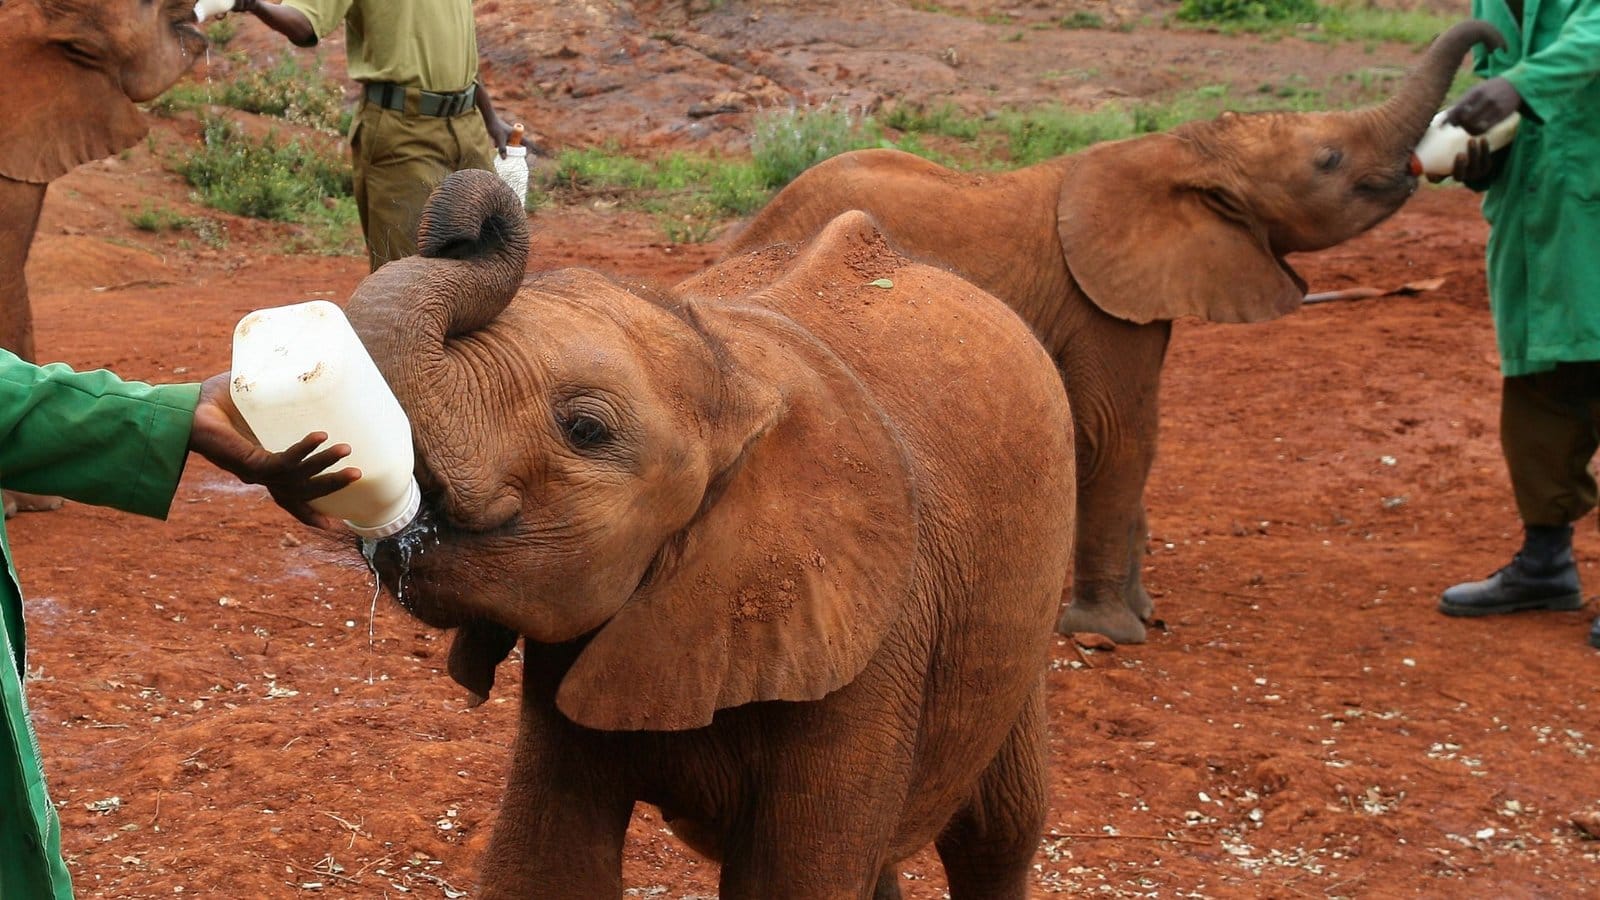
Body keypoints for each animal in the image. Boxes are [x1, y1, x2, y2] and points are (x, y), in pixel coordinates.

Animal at [347, 169, 1077, 899]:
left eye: (585, 429)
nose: (468, 229)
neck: (732, 366)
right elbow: (544, 864)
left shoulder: (874, 646)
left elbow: (791, 881)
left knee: (996, 831)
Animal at [722, 19, 1505, 644]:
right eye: (1329, 161)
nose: (1495, 46)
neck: (1178, 151)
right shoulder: (1093, 300)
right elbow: (1116, 434)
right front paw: (1111, 635)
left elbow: (1142, 438)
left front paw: (1144, 612)